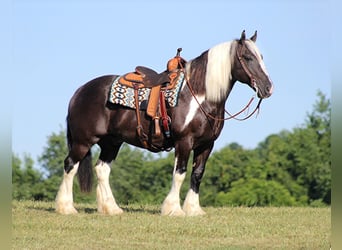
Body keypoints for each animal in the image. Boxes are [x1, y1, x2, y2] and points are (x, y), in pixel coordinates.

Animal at [55, 30, 272, 215]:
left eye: (261, 57)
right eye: (248, 58)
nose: (268, 88)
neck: (198, 96)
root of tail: (80, 91)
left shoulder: (206, 145)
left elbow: (197, 174)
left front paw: (194, 210)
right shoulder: (184, 142)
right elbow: (180, 173)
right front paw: (174, 209)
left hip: (111, 142)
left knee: (102, 169)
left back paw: (111, 209)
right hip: (83, 141)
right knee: (70, 165)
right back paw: (66, 208)